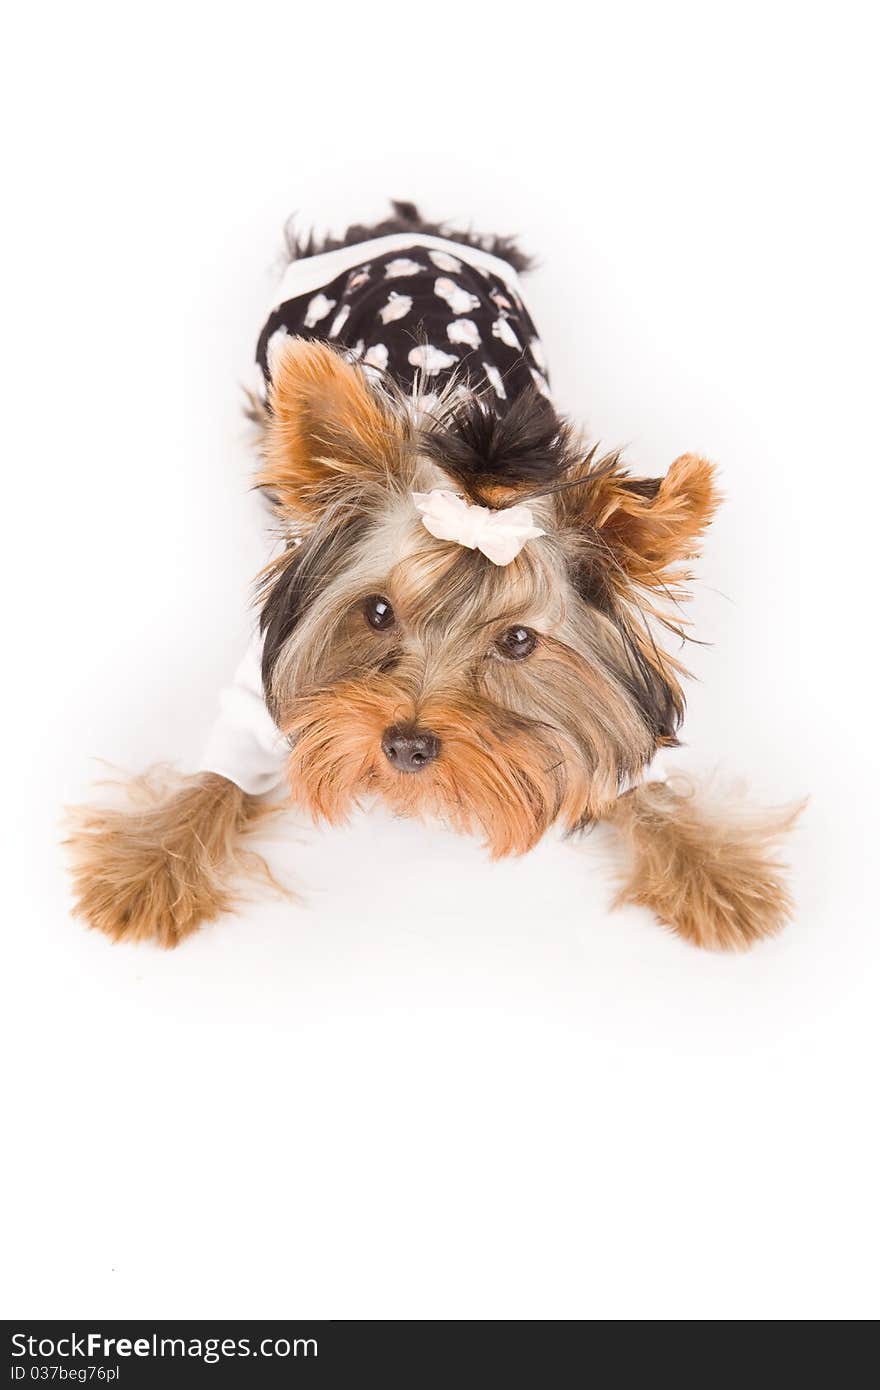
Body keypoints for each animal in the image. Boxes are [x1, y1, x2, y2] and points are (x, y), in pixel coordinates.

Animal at [68, 201, 795, 950]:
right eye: (378, 612)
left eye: (517, 641)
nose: (407, 747)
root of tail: (407, 227)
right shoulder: (262, 668)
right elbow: (225, 768)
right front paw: (152, 862)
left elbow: (638, 773)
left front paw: (712, 870)